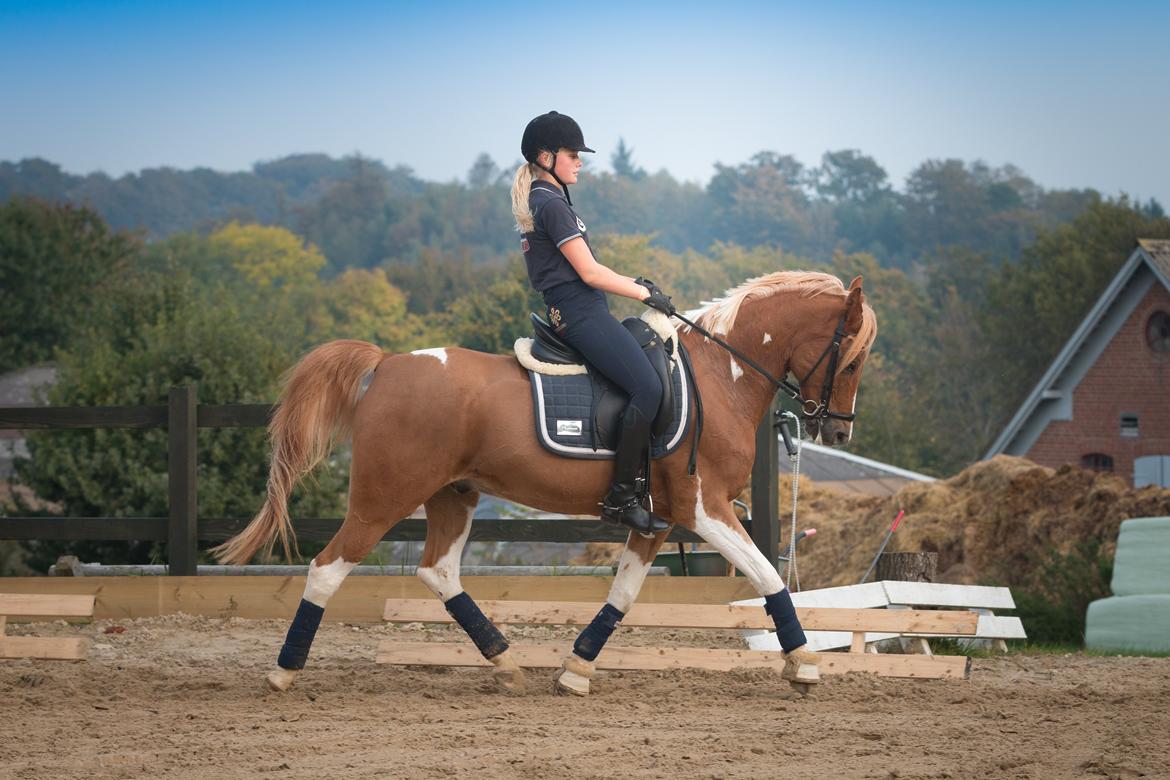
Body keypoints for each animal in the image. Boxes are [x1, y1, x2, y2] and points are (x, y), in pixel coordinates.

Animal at [211, 270, 877, 696]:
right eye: (852, 358)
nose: (840, 429)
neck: (721, 374)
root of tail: (389, 363)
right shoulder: (704, 508)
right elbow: (768, 576)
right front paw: (802, 663)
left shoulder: (658, 519)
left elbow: (624, 594)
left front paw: (575, 669)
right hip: (383, 499)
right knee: (328, 568)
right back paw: (284, 672)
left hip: (453, 495)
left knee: (438, 572)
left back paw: (505, 663)